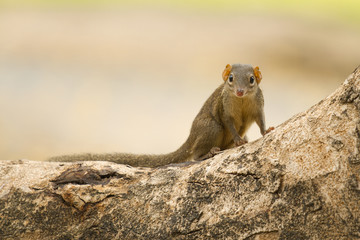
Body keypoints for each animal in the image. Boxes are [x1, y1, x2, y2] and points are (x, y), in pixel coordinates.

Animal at [47, 64, 272, 168]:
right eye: (231, 79)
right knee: (195, 153)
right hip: (211, 127)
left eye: (251, 79)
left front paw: (266, 130)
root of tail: (190, 137)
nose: (240, 91)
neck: (241, 102)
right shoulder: (224, 108)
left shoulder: (257, 106)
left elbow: (261, 120)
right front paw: (238, 139)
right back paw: (209, 152)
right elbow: (229, 124)